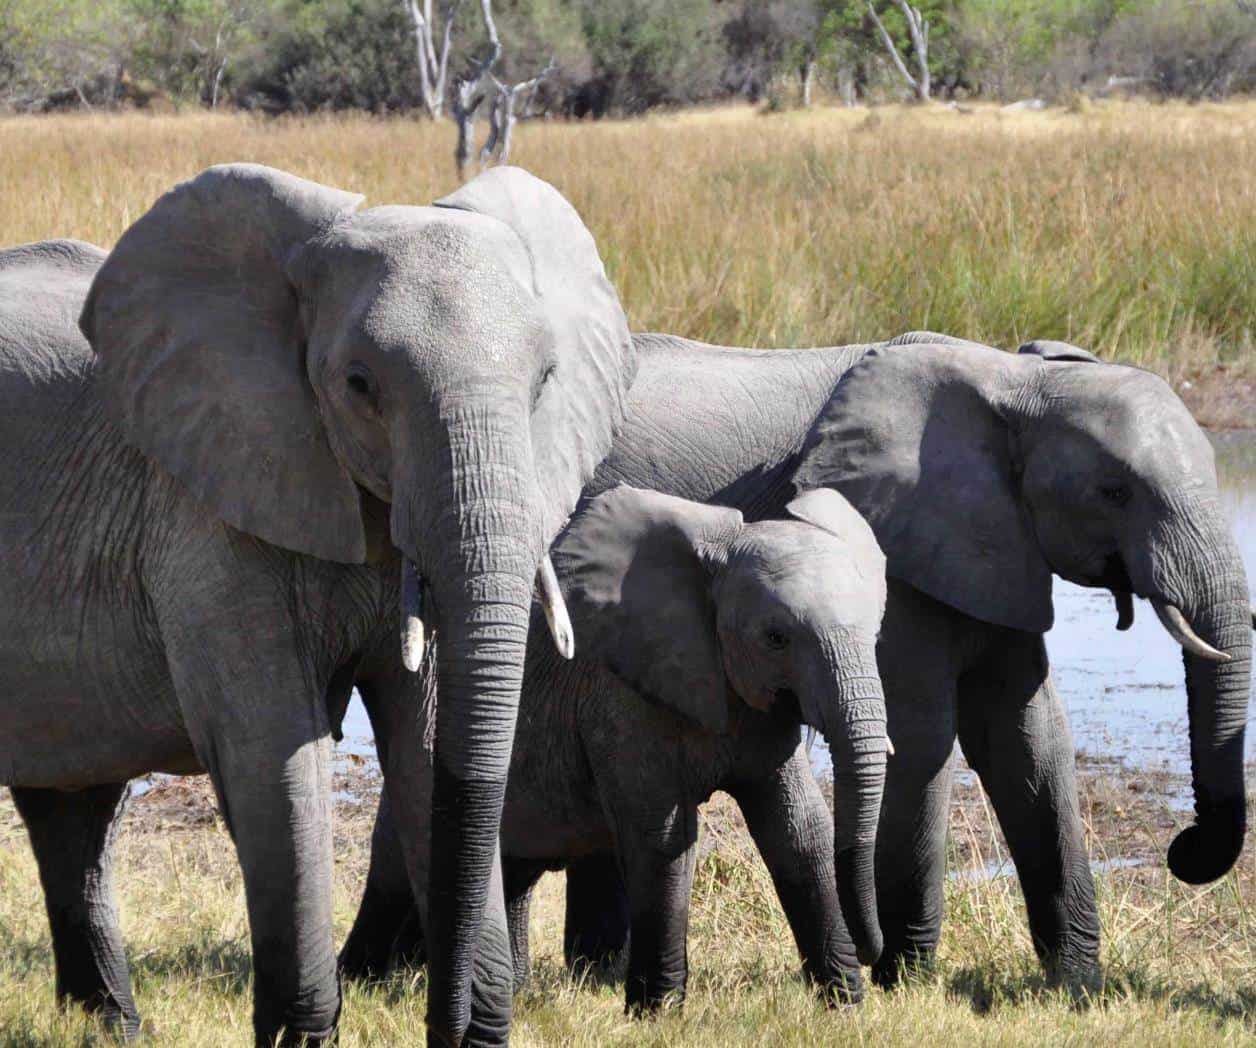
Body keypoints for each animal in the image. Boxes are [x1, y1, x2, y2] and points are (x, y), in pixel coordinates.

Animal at [0, 159, 633, 1040]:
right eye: (358, 386)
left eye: (545, 383)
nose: (448, 1025)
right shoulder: (206, 505)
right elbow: (275, 753)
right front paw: (300, 1037)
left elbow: (428, 745)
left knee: (72, 806)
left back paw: (111, 1028)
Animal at [341, 485, 894, 1015]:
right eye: (776, 638)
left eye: (876, 632)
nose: (874, 953)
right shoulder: (617, 696)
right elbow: (663, 839)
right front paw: (658, 1013)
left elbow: (799, 830)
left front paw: (846, 1006)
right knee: (395, 865)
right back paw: (361, 983)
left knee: (512, 870)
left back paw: (504, 988)